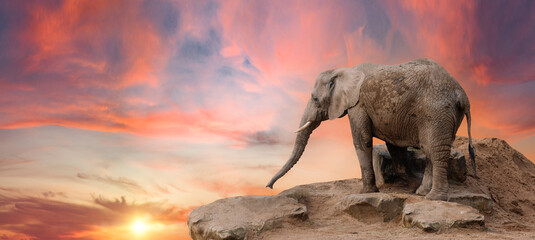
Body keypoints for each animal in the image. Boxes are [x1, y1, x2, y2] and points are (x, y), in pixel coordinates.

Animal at [268, 58, 478, 201]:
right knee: (432, 149)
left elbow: (362, 140)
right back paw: (422, 192)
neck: (343, 70)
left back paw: (434, 197)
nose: (269, 187)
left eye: (315, 99)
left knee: (435, 150)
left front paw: (366, 193)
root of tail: (462, 94)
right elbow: (394, 146)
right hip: (445, 114)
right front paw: (412, 185)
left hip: (436, 110)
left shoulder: (358, 105)